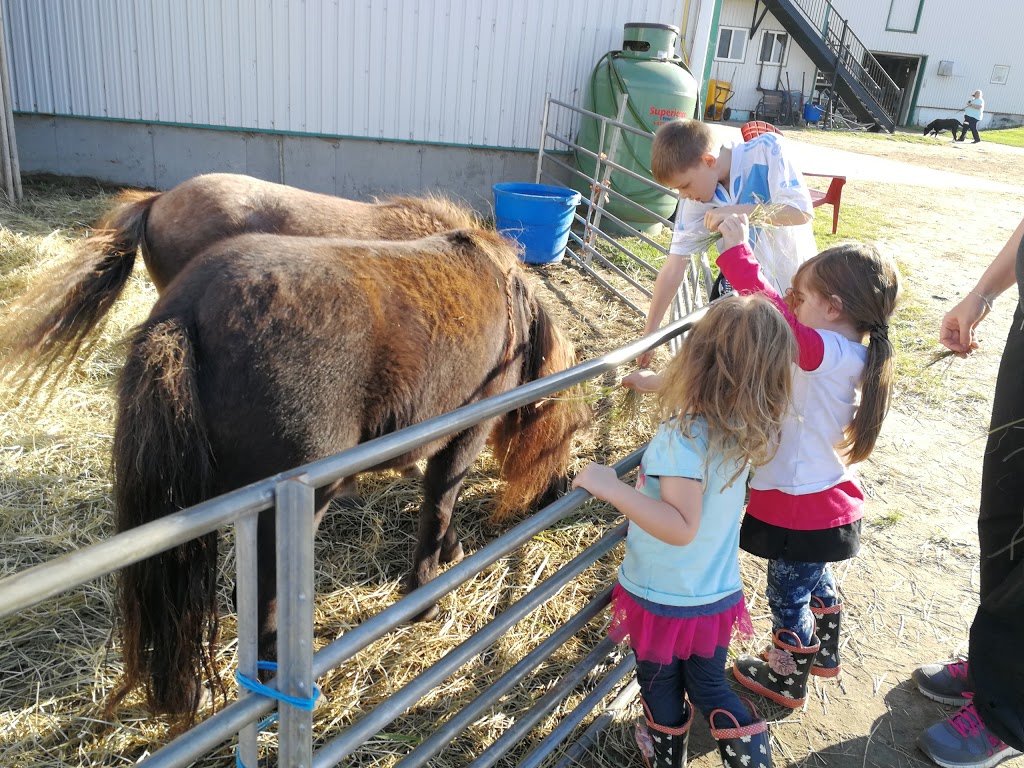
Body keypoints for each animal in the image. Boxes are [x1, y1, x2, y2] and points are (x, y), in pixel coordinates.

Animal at [108, 228, 589, 720]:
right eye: (570, 433)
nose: (563, 488)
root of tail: (189, 308)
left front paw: (450, 552)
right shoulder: (464, 435)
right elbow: (439, 502)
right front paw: (425, 599)